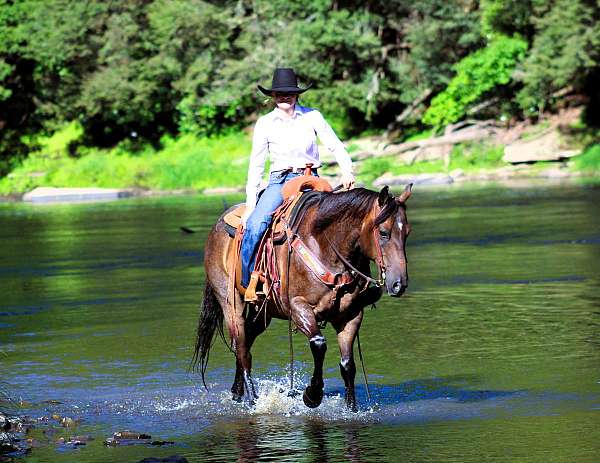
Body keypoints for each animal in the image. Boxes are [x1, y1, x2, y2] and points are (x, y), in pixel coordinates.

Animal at [192, 183, 412, 412]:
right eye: (384, 233)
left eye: (407, 232)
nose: (399, 283)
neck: (325, 246)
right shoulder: (298, 308)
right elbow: (318, 344)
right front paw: (312, 395)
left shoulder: (350, 315)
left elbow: (347, 365)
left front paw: (351, 408)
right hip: (230, 303)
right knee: (242, 347)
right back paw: (253, 400)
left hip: (263, 311)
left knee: (246, 341)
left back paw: (237, 393)